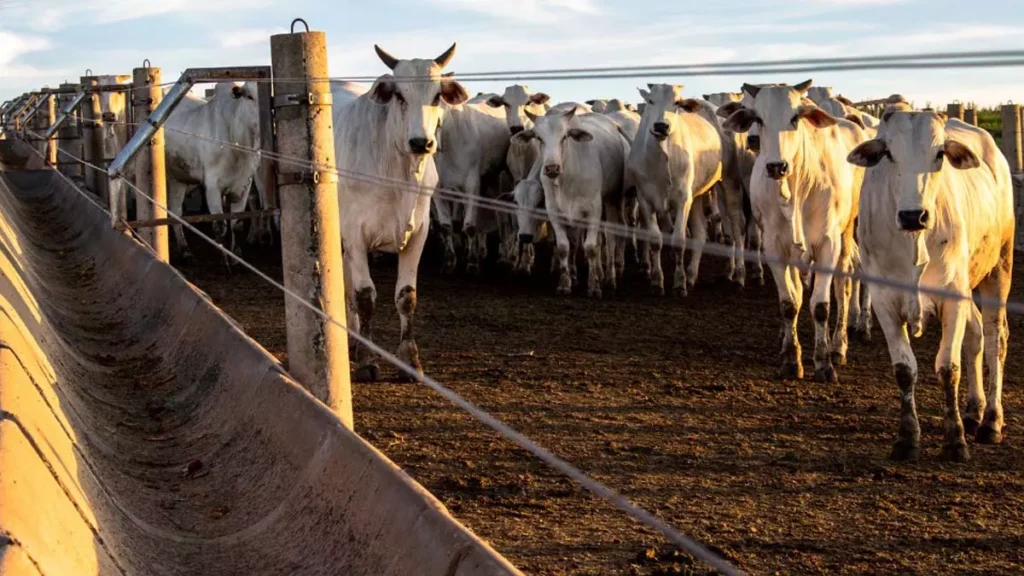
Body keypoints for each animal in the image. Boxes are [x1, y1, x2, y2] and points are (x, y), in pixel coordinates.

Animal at [163, 80, 260, 260]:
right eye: (249, 96)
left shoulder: (244, 184)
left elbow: (237, 223)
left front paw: (236, 254)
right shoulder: (212, 185)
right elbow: (220, 226)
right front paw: (225, 259)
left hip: (178, 178)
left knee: (176, 211)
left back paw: (184, 249)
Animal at [516, 107, 626, 295]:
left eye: (564, 137)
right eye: (539, 138)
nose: (551, 168)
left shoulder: (594, 210)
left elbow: (591, 247)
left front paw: (594, 286)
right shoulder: (555, 212)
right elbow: (564, 247)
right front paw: (565, 283)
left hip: (613, 199)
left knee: (610, 238)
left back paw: (610, 278)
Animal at [622, 84, 729, 295]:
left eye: (677, 103)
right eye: (650, 100)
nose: (661, 126)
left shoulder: (683, 199)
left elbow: (678, 241)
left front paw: (680, 283)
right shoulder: (645, 199)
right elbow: (655, 240)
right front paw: (657, 281)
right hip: (696, 197)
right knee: (700, 232)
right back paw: (692, 275)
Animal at [724, 79, 868, 381]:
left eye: (795, 117)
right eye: (758, 119)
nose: (776, 166)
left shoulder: (828, 244)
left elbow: (821, 306)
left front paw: (824, 363)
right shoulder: (775, 246)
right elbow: (789, 303)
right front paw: (791, 358)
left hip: (847, 231)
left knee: (843, 285)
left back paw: (838, 347)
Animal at [847, 111, 1015, 461]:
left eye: (939, 154)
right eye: (888, 153)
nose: (914, 216)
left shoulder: (952, 297)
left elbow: (948, 367)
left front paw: (955, 441)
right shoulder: (884, 302)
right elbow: (904, 369)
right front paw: (907, 439)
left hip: (999, 266)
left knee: (995, 337)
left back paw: (991, 421)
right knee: (976, 335)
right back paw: (973, 411)